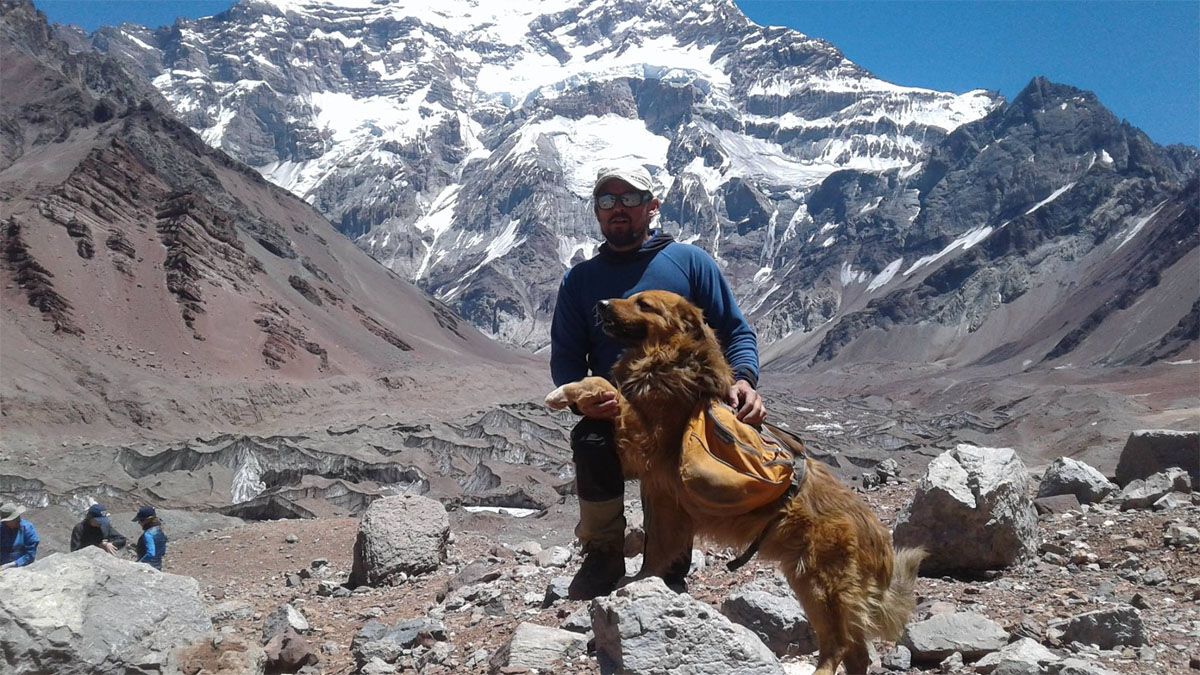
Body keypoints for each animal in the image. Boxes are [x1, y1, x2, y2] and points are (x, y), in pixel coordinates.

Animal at [549, 289, 921, 672]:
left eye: (644, 304)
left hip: (821, 585)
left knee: (840, 644)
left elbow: (608, 387)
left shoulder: (643, 440)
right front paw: (640, 584)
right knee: (857, 651)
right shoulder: (660, 496)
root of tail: (879, 539)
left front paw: (566, 392)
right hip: (810, 581)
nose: (601, 305)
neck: (670, 359)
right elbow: (656, 554)